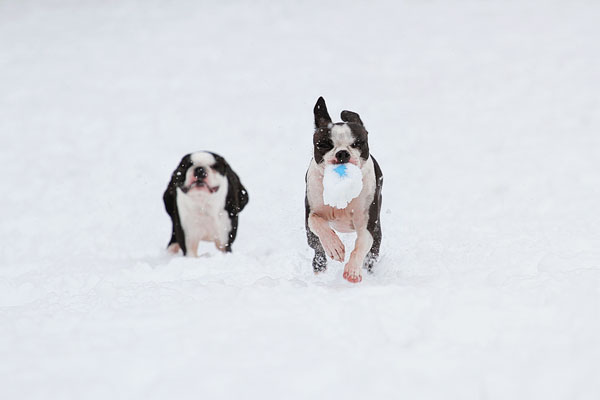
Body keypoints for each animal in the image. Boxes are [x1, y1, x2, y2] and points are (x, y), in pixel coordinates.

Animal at [304, 97, 384, 284]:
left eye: (357, 143)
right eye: (324, 144)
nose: (342, 153)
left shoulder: (367, 223)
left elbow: (361, 244)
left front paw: (353, 271)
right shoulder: (311, 211)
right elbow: (317, 222)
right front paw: (334, 246)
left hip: (378, 232)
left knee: (372, 253)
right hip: (310, 237)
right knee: (317, 248)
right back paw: (319, 267)